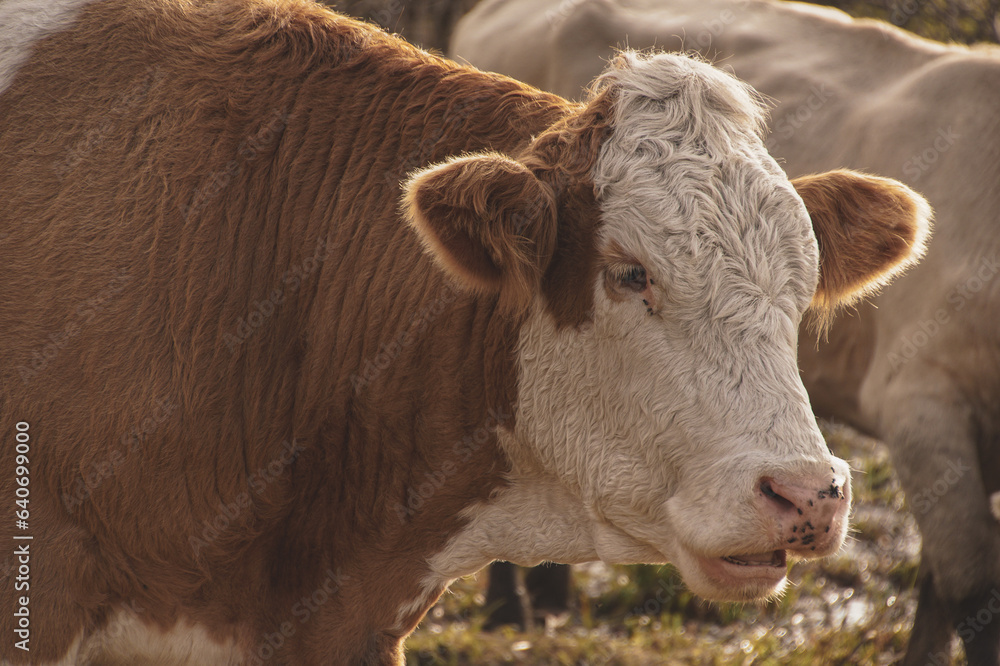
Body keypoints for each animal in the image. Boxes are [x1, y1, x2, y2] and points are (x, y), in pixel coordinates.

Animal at [452, 2, 1000, 660]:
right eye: (631, 274)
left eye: (805, 283)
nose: (809, 495)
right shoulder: (921, 402)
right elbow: (969, 583)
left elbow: (939, 585)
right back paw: (508, 607)